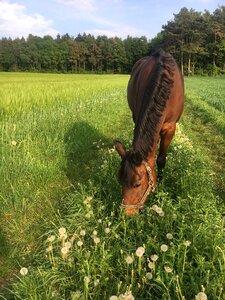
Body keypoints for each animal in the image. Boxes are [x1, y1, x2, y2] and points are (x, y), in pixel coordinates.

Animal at [115, 49, 184, 216]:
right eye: (119, 181)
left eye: (137, 184)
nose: (128, 214)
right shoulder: (137, 115)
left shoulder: (170, 128)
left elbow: (161, 159)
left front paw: (160, 185)